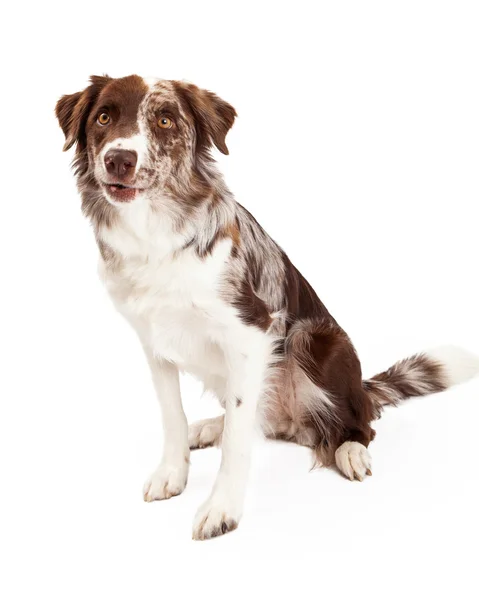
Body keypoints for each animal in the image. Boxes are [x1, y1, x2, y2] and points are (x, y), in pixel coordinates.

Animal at [56, 74, 479, 540]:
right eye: (103, 117)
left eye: (165, 120)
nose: (118, 160)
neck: (156, 236)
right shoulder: (153, 342)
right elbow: (173, 416)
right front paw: (173, 472)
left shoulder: (251, 332)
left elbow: (239, 440)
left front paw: (222, 507)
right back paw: (209, 426)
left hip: (313, 339)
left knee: (361, 420)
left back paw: (350, 449)